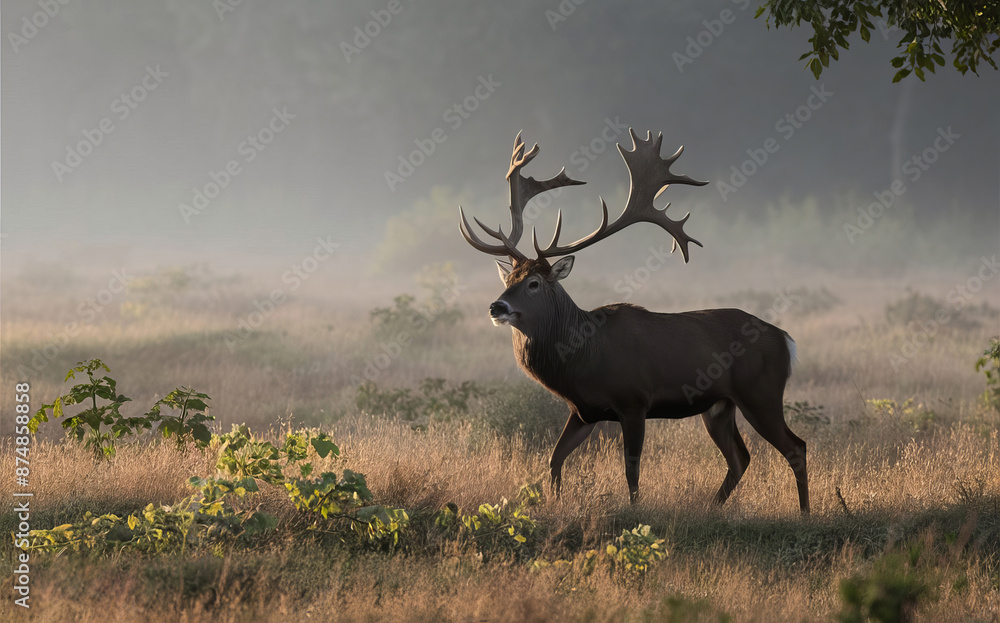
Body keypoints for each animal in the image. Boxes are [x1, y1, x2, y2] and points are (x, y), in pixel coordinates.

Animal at [459, 129, 809, 513]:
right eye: (509, 278)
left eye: (534, 283)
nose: (497, 306)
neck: (583, 356)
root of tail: (786, 340)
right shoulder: (583, 411)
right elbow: (554, 459)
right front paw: (555, 502)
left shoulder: (634, 400)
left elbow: (631, 468)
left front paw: (635, 510)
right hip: (719, 405)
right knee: (740, 457)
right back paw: (712, 508)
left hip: (760, 391)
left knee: (796, 446)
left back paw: (804, 513)